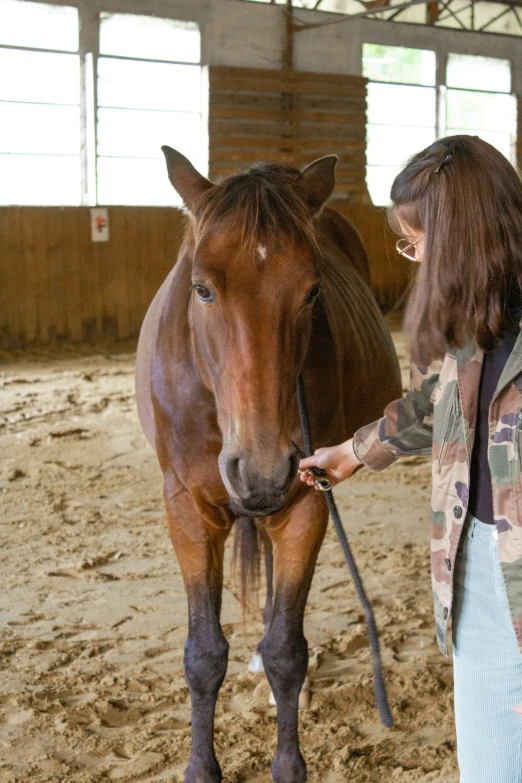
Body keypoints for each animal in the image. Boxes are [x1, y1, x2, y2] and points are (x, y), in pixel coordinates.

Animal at [134, 149, 398, 783]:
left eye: (312, 292)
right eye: (202, 288)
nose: (260, 469)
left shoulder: (304, 503)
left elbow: (286, 650)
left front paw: (288, 762)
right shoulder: (188, 511)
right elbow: (203, 654)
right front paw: (201, 768)